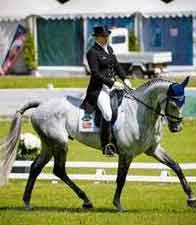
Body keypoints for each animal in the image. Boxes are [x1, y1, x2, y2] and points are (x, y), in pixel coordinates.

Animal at [0, 77, 196, 211]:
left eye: (183, 102)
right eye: (173, 103)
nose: (177, 127)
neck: (139, 112)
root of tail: (41, 105)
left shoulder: (153, 150)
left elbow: (176, 166)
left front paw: (191, 198)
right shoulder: (126, 153)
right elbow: (121, 178)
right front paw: (118, 205)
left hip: (49, 144)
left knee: (35, 168)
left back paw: (27, 202)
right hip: (60, 143)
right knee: (59, 170)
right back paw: (86, 200)